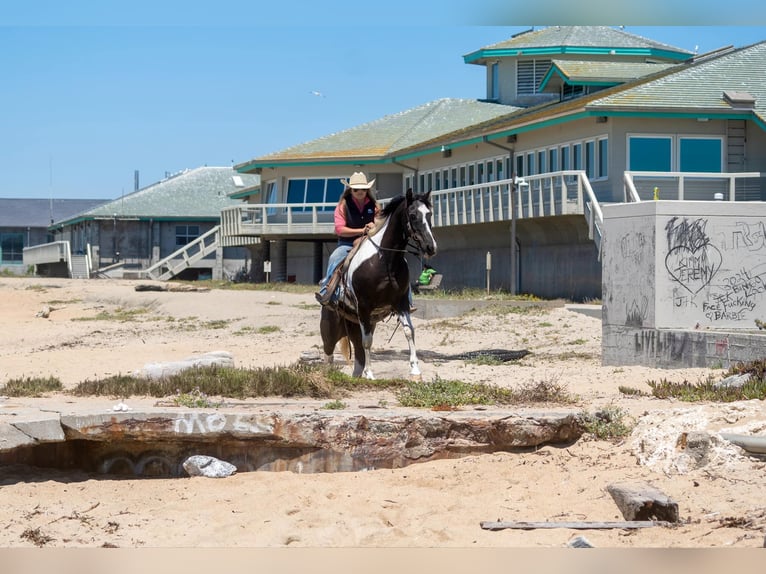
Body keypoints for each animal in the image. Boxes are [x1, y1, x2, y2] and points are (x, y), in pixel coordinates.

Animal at [320, 188, 437, 380]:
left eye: (429, 214)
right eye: (413, 215)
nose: (430, 247)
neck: (384, 261)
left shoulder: (401, 303)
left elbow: (409, 331)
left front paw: (415, 371)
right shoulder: (364, 307)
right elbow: (368, 342)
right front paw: (370, 374)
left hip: (357, 325)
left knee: (358, 355)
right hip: (331, 328)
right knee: (329, 353)